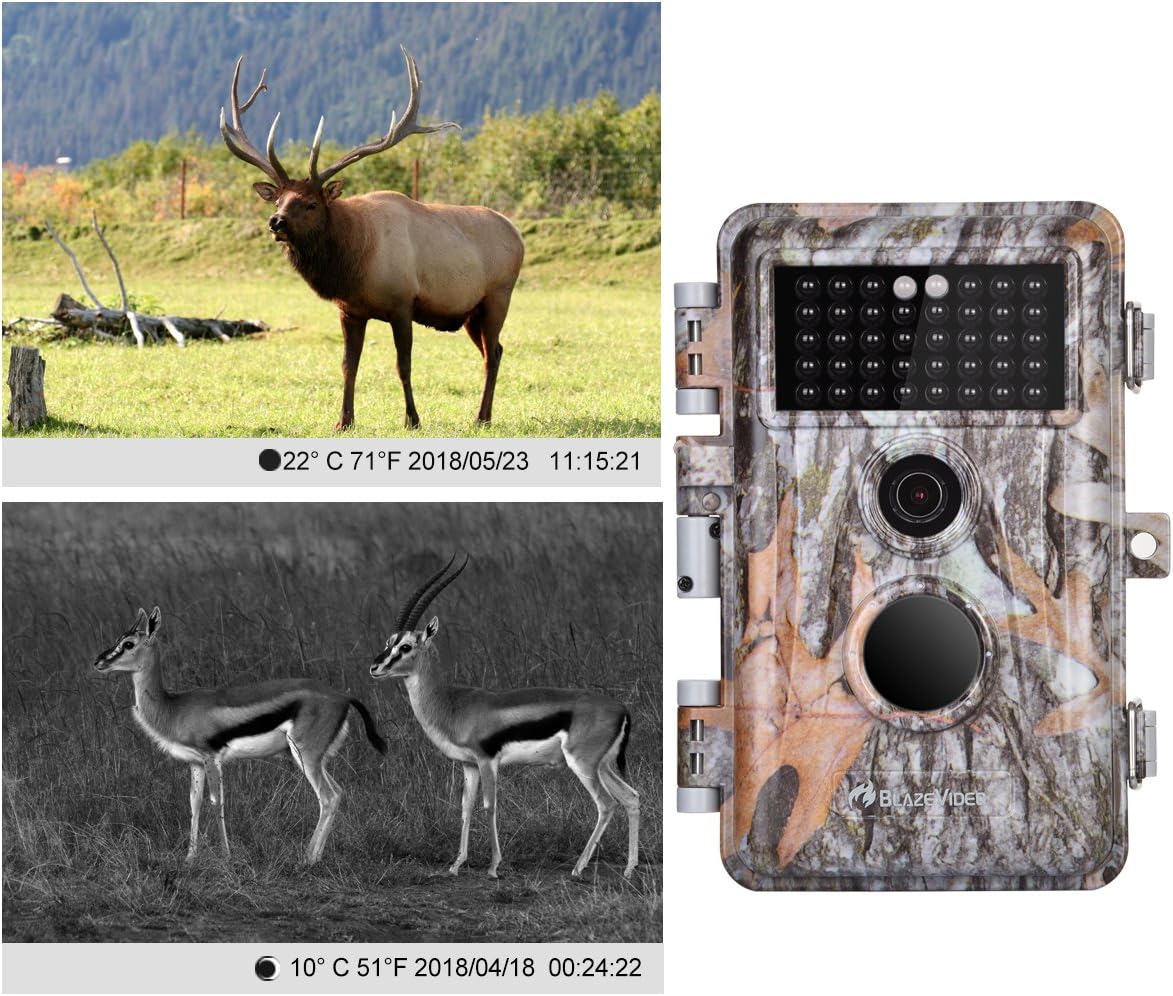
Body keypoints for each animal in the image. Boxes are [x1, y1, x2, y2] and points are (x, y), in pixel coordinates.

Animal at [92, 606, 387, 864]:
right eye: (118, 638)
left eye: (128, 643)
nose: (98, 662)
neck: (174, 708)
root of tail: (343, 697)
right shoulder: (195, 763)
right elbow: (194, 805)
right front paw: (189, 859)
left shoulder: (211, 758)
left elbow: (216, 803)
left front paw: (225, 856)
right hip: (314, 759)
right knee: (338, 793)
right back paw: (314, 857)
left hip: (306, 755)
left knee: (327, 797)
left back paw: (307, 859)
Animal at [219, 48, 525, 430]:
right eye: (278, 200)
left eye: (311, 203)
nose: (276, 222)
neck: (355, 262)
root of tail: (517, 234)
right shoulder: (349, 311)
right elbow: (348, 366)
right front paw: (343, 421)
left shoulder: (402, 303)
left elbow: (403, 365)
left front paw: (412, 419)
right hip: (471, 312)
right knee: (494, 349)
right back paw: (484, 415)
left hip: (498, 296)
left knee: (493, 353)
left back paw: (480, 418)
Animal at [369, 556, 640, 880]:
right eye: (389, 641)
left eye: (406, 646)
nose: (374, 667)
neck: (452, 704)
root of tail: (622, 709)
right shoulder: (468, 765)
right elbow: (465, 808)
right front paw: (456, 864)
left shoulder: (488, 761)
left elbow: (490, 807)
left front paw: (494, 867)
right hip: (603, 766)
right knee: (631, 798)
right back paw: (629, 869)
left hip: (584, 765)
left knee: (606, 804)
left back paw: (578, 868)